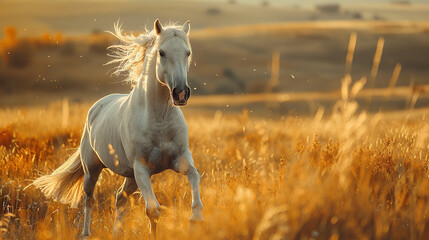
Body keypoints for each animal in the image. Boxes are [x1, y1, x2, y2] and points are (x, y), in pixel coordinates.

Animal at [31, 19, 202, 238]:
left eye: (187, 52)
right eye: (162, 52)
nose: (180, 93)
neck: (159, 119)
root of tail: (97, 106)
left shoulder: (179, 159)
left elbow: (194, 175)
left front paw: (195, 218)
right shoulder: (142, 168)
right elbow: (153, 210)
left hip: (130, 177)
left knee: (120, 198)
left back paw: (117, 232)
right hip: (93, 170)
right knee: (89, 199)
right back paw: (86, 234)